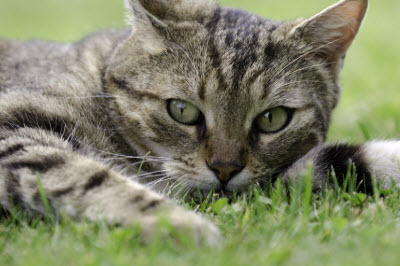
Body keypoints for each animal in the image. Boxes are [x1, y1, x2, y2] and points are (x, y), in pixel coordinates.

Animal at [0, 0, 400, 245]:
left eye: (273, 119)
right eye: (182, 110)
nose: (225, 169)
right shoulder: (12, 130)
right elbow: (86, 177)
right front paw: (183, 227)